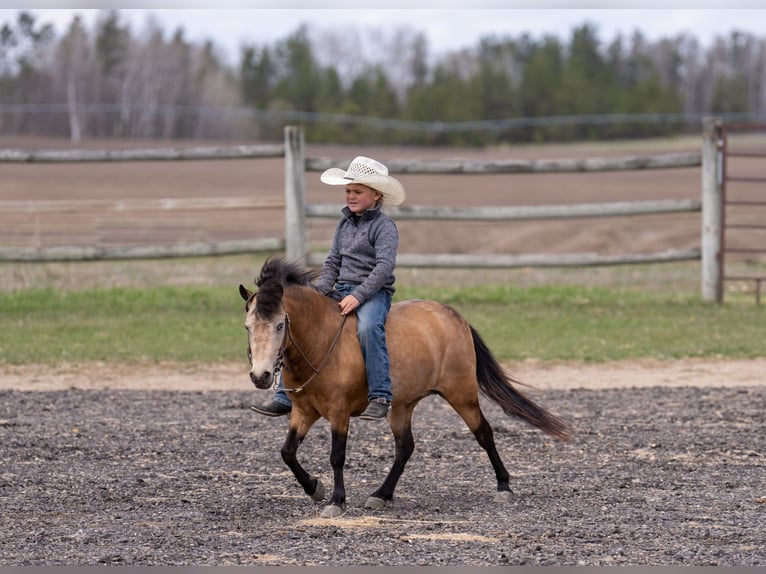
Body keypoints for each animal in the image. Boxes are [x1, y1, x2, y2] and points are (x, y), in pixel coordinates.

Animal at [239, 258, 571, 518]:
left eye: (280, 325)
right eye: (247, 327)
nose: (261, 376)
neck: (321, 341)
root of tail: (454, 317)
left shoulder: (339, 413)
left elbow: (337, 456)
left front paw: (336, 500)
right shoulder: (303, 411)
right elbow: (287, 452)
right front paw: (315, 488)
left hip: (462, 394)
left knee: (484, 433)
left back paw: (503, 486)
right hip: (402, 405)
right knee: (405, 447)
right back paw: (381, 494)